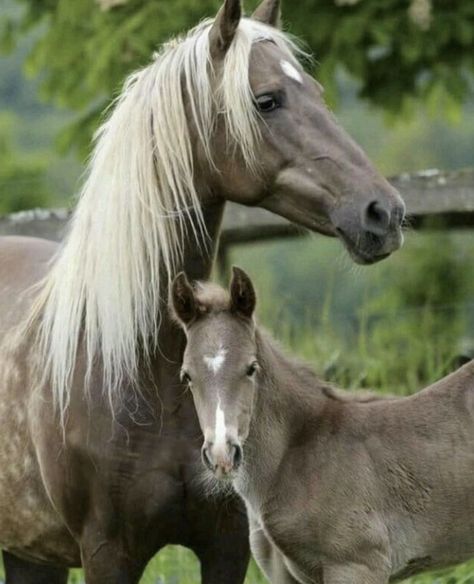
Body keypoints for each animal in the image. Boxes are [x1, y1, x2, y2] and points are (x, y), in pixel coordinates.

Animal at [0, 0, 404, 580]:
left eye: (317, 91)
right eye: (267, 100)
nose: (384, 213)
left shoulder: (226, 544)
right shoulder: (107, 551)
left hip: (30, 551)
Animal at [172, 268, 474, 584]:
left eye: (251, 368)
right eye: (187, 376)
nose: (222, 455)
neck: (293, 458)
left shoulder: (356, 565)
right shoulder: (283, 575)